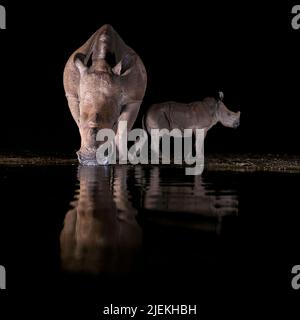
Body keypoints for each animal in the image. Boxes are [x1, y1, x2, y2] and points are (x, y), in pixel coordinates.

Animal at [63, 24, 147, 165]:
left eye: (113, 123)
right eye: (79, 120)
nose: (90, 159)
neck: (101, 64)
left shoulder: (134, 99)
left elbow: (123, 128)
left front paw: (119, 158)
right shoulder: (72, 96)